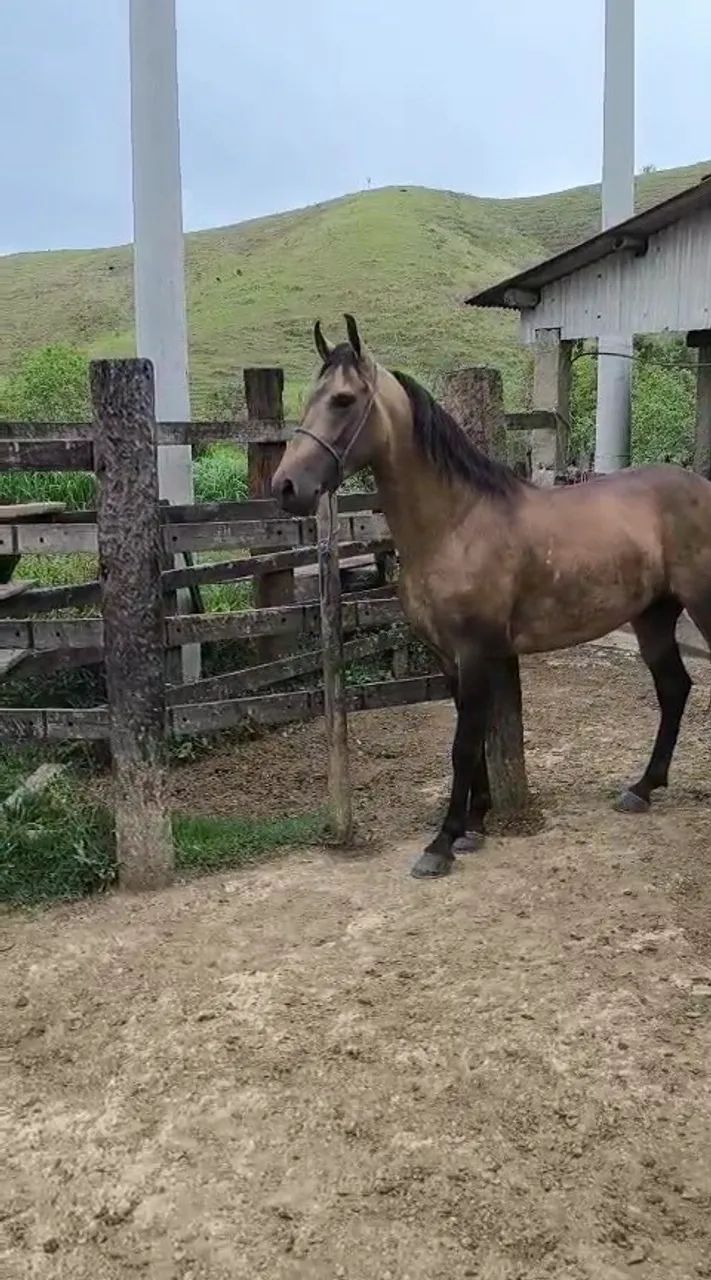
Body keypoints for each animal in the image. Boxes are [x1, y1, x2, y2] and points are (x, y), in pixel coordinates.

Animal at [271, 314, 711, 879]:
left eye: (344, 399)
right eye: (311, 396)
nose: (286, 486)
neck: (454, 524)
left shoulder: (476, 651)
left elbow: (463, 744)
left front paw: (442, 843)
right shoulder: (447, 656)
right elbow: (472, 737)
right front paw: (474, 824)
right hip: (653, 616)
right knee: (674, 689)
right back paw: (642, 788)